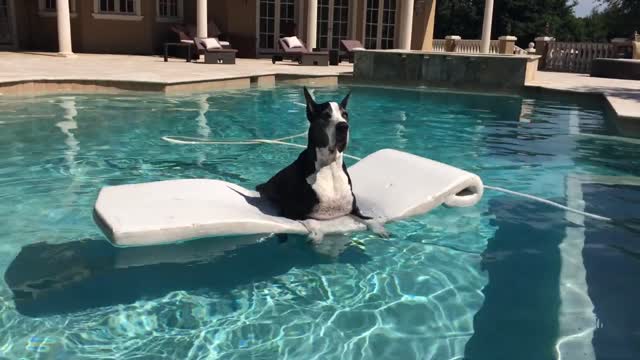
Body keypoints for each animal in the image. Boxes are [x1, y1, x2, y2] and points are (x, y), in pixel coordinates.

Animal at [256, 87, 384, 240]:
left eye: (345, 115)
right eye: (325, 115)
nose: (343, 126)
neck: (330, 165)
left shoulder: (353, 208)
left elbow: (367, 218)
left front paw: (378, 227)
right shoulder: (290, 212)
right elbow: (311, 220)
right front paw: (316, 234)